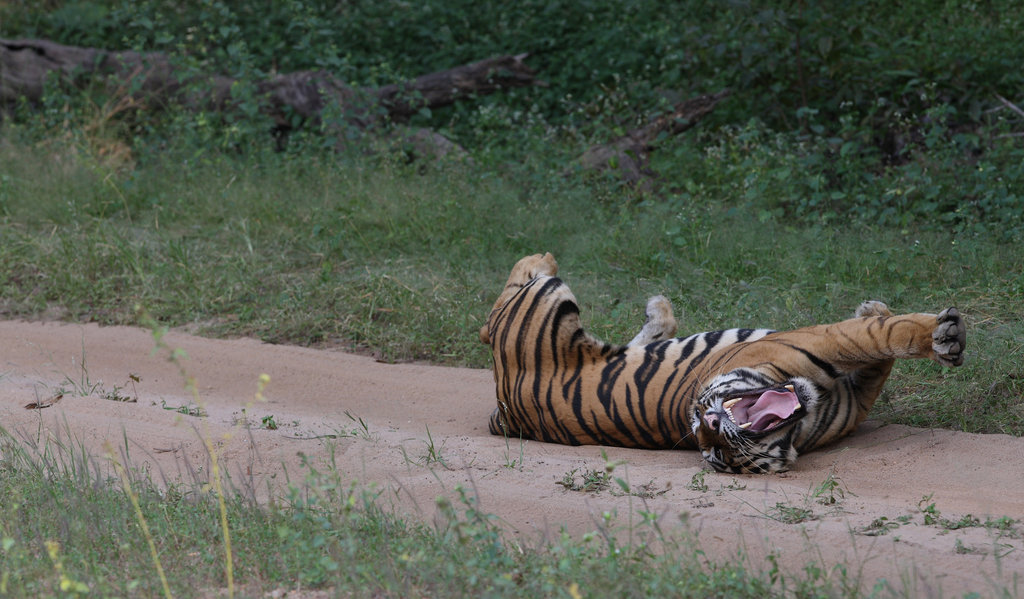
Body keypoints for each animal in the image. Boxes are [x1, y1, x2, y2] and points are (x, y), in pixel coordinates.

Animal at [479, 253, 966, 473]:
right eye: (718, 454)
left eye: (703, 427)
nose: (710, 424)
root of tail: (502, 409)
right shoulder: (823, 343)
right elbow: (882, 337)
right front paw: (941, 337)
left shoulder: (855, 388)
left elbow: (879, 353)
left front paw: (879, 310)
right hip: (548, 303)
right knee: (505, 302)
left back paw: (659, 309)